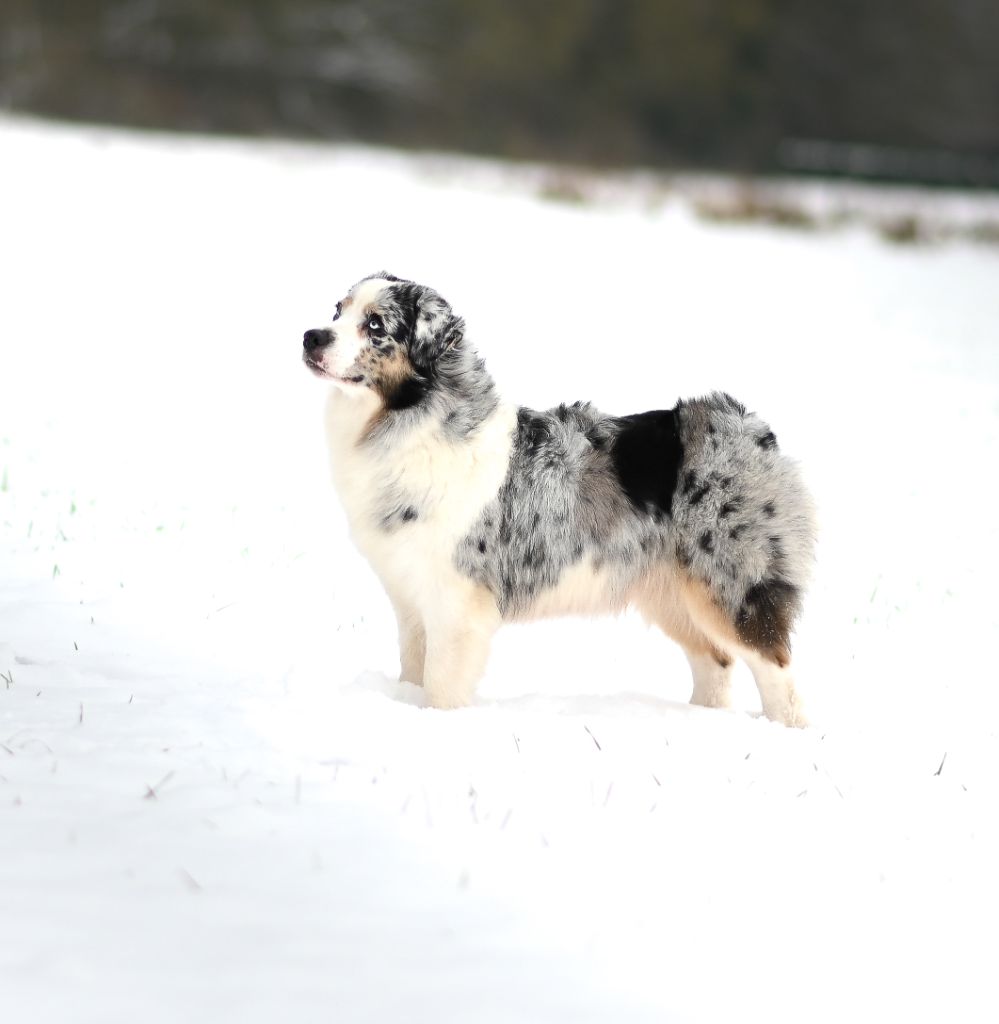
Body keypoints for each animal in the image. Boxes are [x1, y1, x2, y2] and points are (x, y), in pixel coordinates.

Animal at [305, 272, 818, 720]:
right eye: (338, 310)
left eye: (375, 324)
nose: (311, 336)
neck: (405, 419)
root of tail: (753, 428)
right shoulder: (410, 595)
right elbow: (414, 669)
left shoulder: (457, 599)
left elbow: (442, 684)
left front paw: (435, 720)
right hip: (672, 593)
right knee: (715, 663)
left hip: (732, 584)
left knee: (777, 672)